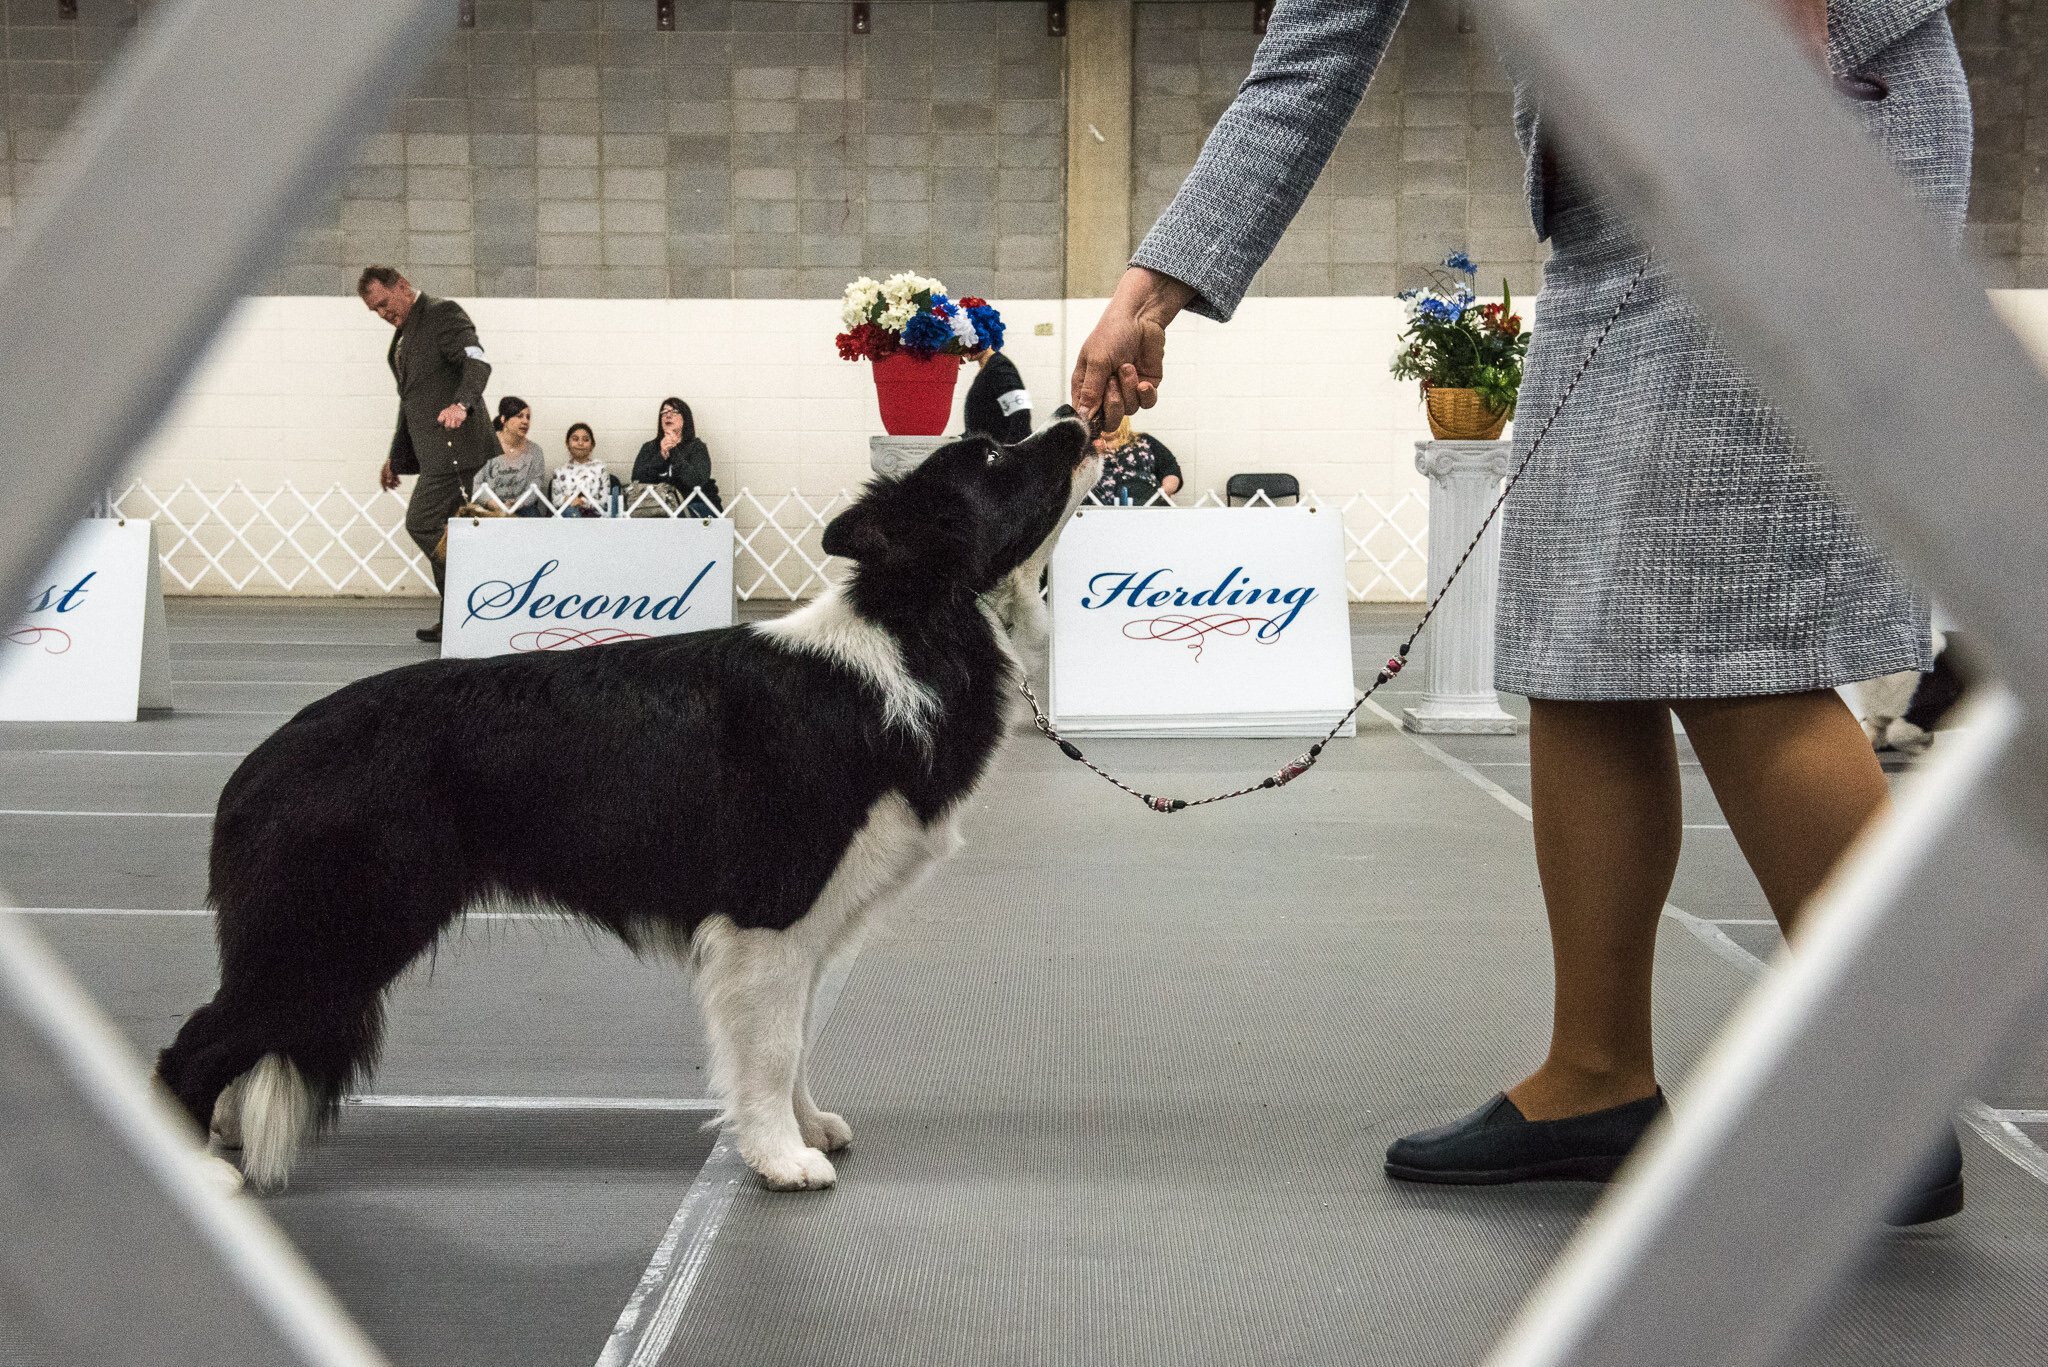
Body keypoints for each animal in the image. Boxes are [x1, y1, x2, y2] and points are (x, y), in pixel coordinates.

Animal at [155, 413, 1105, 1188]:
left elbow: (799, 1039)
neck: (918, 625)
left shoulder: (806, 926)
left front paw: (805, 1128)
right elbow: (771, 1047)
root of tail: (262, 762)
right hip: (339, 926)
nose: (1076, 417)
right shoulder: (767, 913)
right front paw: (780, 1157)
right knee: (196, 1042)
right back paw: (199, 1171)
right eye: (992, 456)